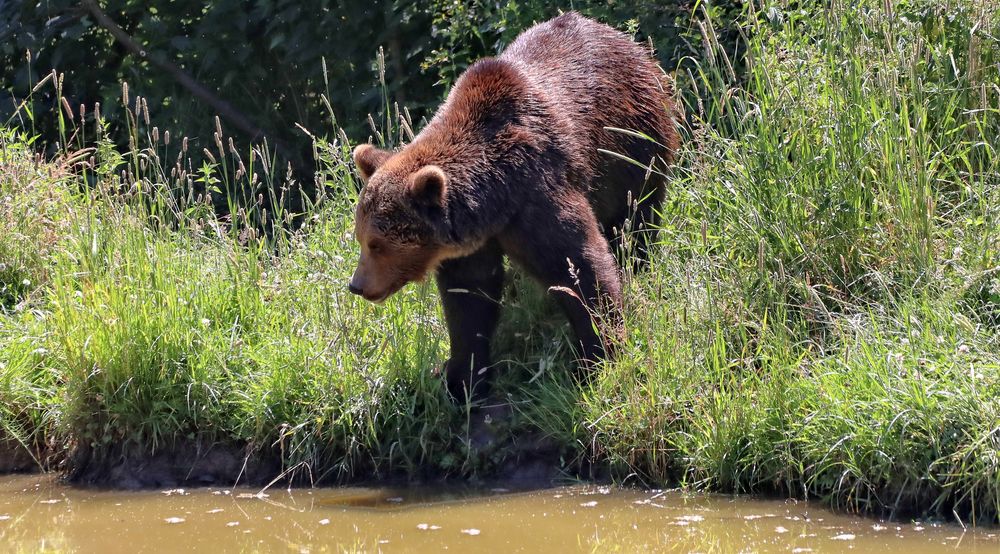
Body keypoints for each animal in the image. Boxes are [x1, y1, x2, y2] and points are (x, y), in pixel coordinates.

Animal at [346, 11, 680, 396]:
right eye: (361, 238)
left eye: (377, 244)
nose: (357, 285)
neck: (496, 198)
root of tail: (627, 41)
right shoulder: (470, 244)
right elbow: (469, 299)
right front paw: (461, 376)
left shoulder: (537, 195)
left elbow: (579, 265)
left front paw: (598, 356)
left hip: (635, 142)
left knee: (637, 215)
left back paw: (637, 263)